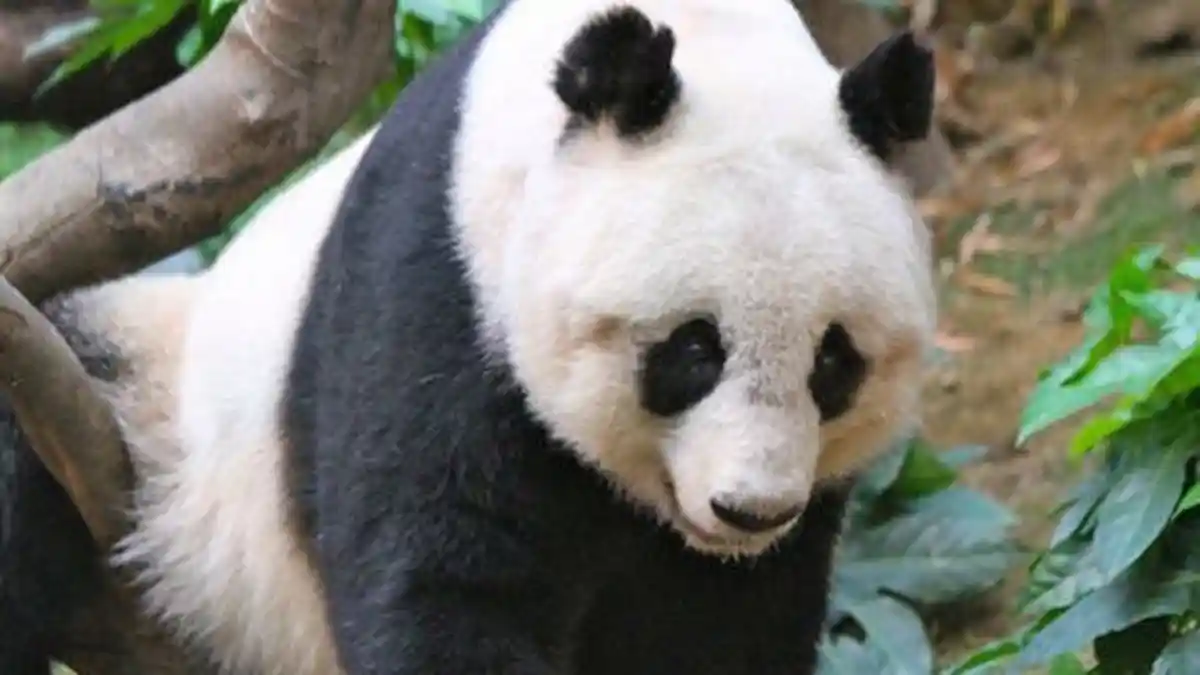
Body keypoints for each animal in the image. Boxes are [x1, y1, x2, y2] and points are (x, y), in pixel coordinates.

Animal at [0, 0, 938, 673]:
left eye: (833, 360)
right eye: (694, 348)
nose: (751, 510)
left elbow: (716, 633)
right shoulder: (437, 288)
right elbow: (445, 577)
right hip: (150, 421)